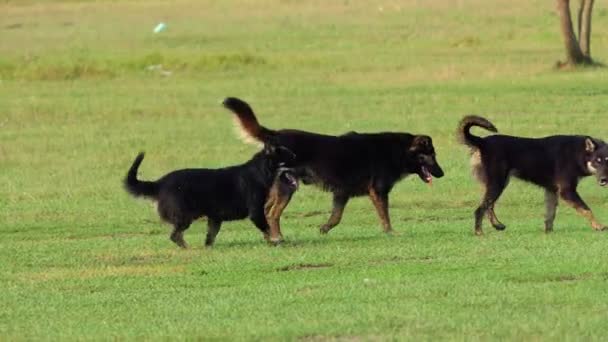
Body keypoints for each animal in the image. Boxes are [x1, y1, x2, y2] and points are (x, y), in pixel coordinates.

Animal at [123, 143, 300, 247]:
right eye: (291, 158)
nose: (303, 170)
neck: (260, 171)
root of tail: (159, 183)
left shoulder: (215, 218)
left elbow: (210, 236)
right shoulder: (256, 212)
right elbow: (267, 228)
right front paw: (276, 241)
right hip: (185, 217)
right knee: (175, 235)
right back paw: (187, 248)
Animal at [460, 115, 608, 235]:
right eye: (597, 161)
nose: (604, 180)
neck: (578, 152)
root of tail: (482, 142)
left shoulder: (552, 190)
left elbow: (550, 215)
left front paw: (549, 232)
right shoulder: (567, 190)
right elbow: (586, 209)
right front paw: (599, 226)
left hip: (497, 183)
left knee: (488, 206)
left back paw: (497, 225)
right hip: (497, 183)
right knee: (480, 209)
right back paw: (479, 232)